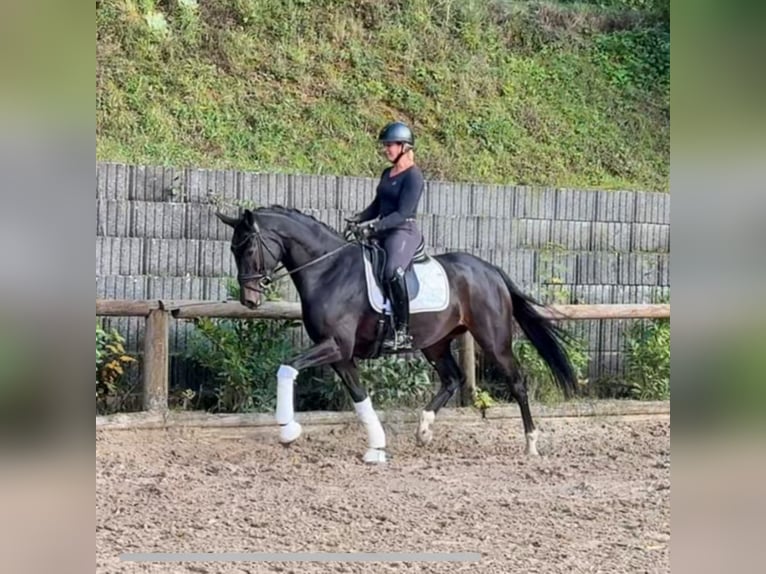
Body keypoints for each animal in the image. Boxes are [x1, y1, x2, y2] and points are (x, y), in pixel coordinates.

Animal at [216, 207, 576, 464]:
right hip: (436, 343)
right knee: (452, 378)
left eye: (248, 249)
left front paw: (289, 430)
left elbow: (287, 367)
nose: (249, 300)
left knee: (516, 382)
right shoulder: (341, 354)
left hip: (492, 338)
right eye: (233, 250)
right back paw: (424, 430)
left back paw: (531, 444)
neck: (328, 271)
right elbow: (359, 396)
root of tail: (491, 270)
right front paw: (377, 448)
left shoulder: (335, 346)